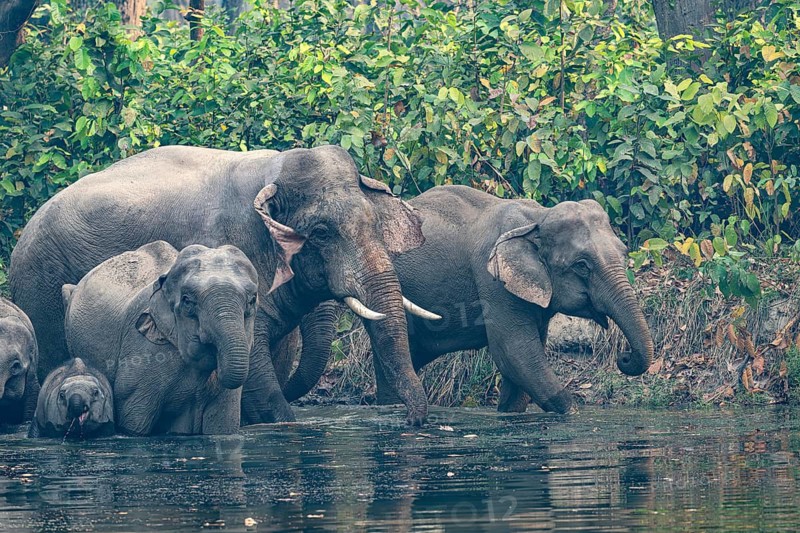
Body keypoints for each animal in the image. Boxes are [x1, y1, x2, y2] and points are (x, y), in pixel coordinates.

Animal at [282, 185, 654, 414]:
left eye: (625, 253)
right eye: (581, 265)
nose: (623, 357)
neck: (537, 217)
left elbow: (521, 363)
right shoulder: (492, 282)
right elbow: (515, 351)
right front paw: (574, 412)